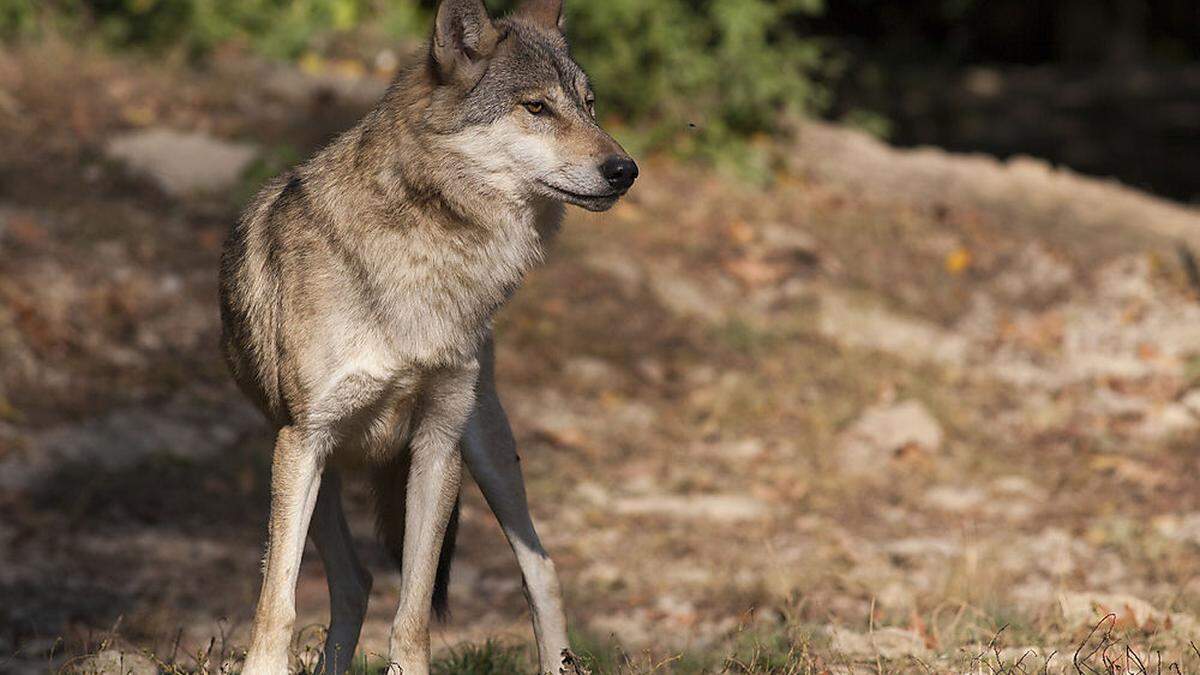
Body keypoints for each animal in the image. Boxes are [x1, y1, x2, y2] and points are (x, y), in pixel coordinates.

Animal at [220, 0, 643, 667]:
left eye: (589, 105)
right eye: (536, 108)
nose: (625, 170)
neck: (428, 252)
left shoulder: (438, 445)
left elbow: (413, 613)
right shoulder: (304, 439)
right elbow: (276, 604)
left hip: (489, 449)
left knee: (541, 570)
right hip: (310, 464)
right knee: (354, 582)